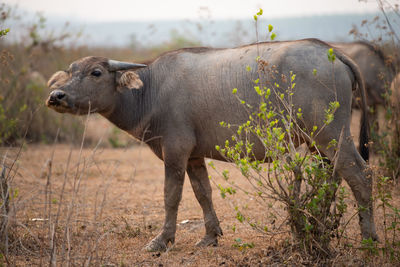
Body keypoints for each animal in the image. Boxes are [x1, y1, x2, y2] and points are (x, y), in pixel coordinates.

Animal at [47, 38, 378, 252]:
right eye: (71, 71)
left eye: (96, 72)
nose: (56, 96)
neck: (150, 91)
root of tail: (332, 52)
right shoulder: (194, 157)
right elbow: (202, 193)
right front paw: (210, 236)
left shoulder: (175, 152)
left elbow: (171, 196)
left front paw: (161, 240)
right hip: (317, 143)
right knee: (331, 177)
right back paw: (318, 225)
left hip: (332, 135)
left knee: (360, 175)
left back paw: (369, 240)